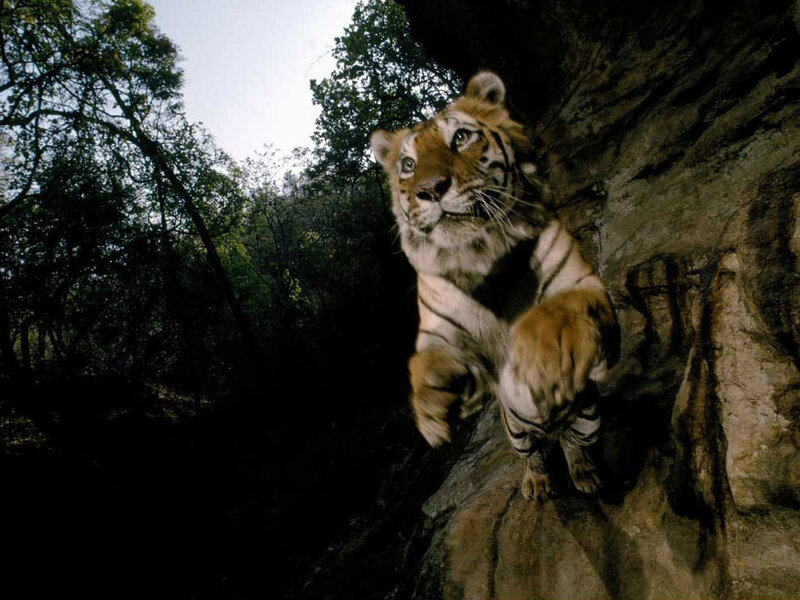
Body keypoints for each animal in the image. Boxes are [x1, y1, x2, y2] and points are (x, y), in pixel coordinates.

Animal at [370, 71, 620, 501]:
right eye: (408, 164)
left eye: (461, 138)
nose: (430, 189)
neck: (479, 254)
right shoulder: (444, 335)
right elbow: (426, 362)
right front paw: (431, 410)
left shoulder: (586, 285)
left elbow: (558, 309)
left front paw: (542, 350)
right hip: (516, 430)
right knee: (532, 454)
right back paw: (536, 483)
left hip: (590, 415)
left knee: (573, 442)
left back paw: (586, 473)